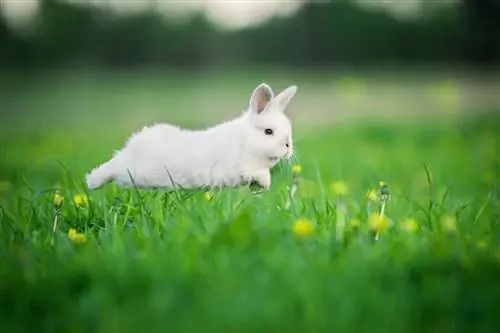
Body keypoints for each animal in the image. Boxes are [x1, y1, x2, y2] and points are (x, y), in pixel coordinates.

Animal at [85, 82, 296, 191]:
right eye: (268, 131)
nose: (287, 147)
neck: (246, 142)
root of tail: (131, 147)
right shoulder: (239, 168)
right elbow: (257, 173)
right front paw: (264, 182)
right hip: (132, 172)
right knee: (112, 170)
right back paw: (92, 182)